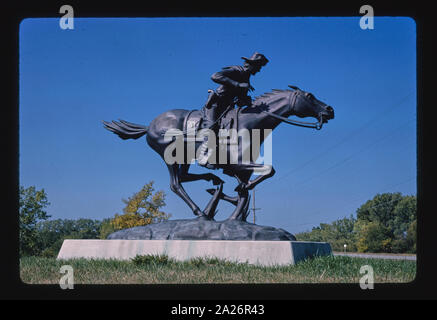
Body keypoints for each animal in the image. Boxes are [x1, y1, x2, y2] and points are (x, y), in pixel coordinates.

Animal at [103, 85, 334, 220]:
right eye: (310, 95)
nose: (330, 110)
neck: (250, 124)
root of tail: (150, 125)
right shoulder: (238, 165)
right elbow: (268, 171)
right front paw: (235, 201)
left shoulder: (244, 170)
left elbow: (245, 194)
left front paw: (234, 213)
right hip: (170, 157)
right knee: (176, 184)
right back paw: (200, 212)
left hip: (185, 158)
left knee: (185, 177)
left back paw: (212, 182)